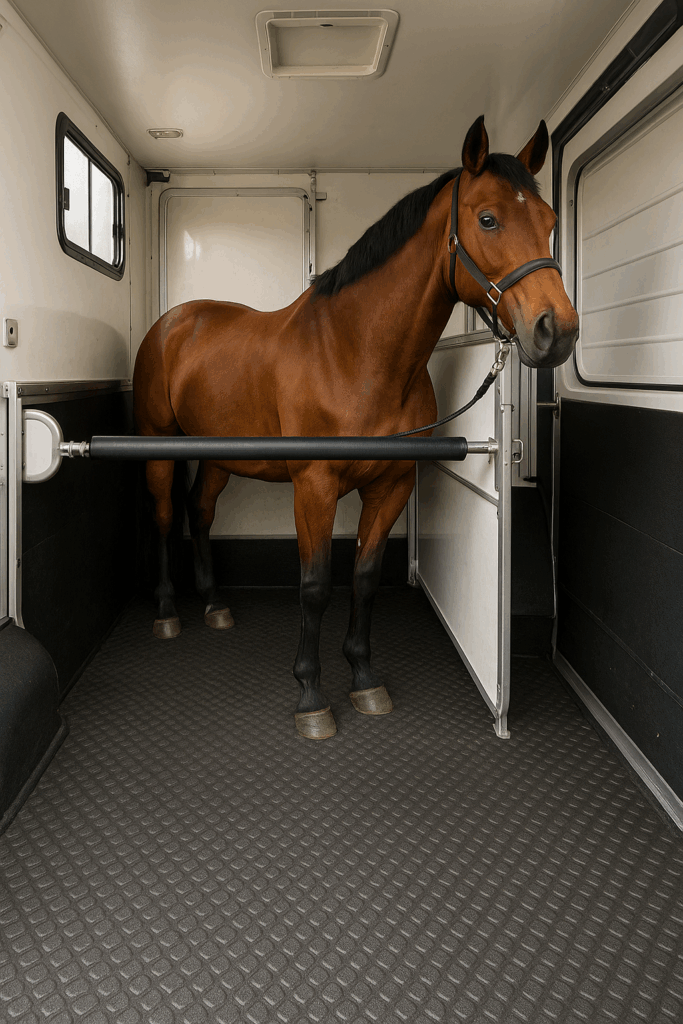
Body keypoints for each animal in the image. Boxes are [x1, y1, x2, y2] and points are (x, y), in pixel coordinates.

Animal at [133, 115, 579, 740]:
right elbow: (315, 586)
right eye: (488, 219)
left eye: (550, 222)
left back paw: (215, 604)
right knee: (165, 516)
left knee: (200, 512)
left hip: (221, 455)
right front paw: (311, 695)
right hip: (158, 446)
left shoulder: (390, 486)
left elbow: (364, 578)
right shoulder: (314, 487)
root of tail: (175, 322)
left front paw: (365, 678)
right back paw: (169, 611)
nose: (556, 331)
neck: (354, 355)